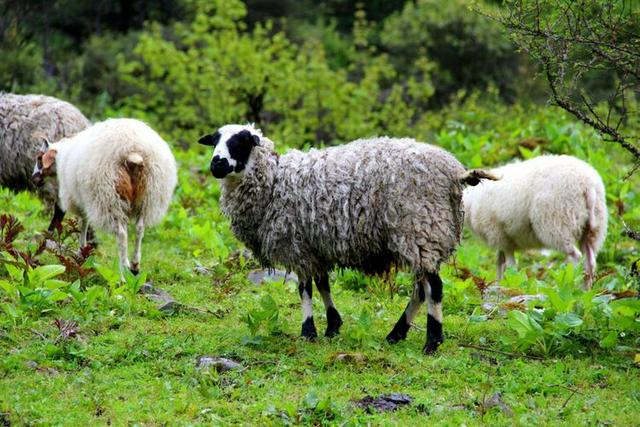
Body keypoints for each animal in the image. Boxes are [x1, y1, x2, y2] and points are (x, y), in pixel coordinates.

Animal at [33, 118, 176, 276]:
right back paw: (134, 266)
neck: (61, 158)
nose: (34, 179)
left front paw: (81, 252)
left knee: (121, 234)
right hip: (148, 197)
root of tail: (132, 150)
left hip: (108, 196)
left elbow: (83, 223)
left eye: (39, 158)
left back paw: (123, 272)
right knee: (140, 228)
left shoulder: (78, 199)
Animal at [198, 123, 498, 354]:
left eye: (241, 142)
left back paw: (432, 342)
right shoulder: (316, 246)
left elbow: (304, 288)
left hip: (420, 228)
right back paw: (396, 334)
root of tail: (455, 172)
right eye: (215, 140)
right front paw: (333, 325)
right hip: (422, 237)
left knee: (433, 288)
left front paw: (308, 331)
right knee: (421, 289)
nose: (216, 163)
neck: (274, 181)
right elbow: (323, 285)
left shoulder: (297, 244)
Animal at [462, 155, 608, 290]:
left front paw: (510, 284)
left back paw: (571, 285)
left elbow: (509, 265)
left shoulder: (500, 235)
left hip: (558, 223)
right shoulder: (502, 238)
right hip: (593, 228)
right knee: (590, 261)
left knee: (576, 257)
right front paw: (499, 283)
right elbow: (499, 261)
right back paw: (585, 291)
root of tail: (588, 186)